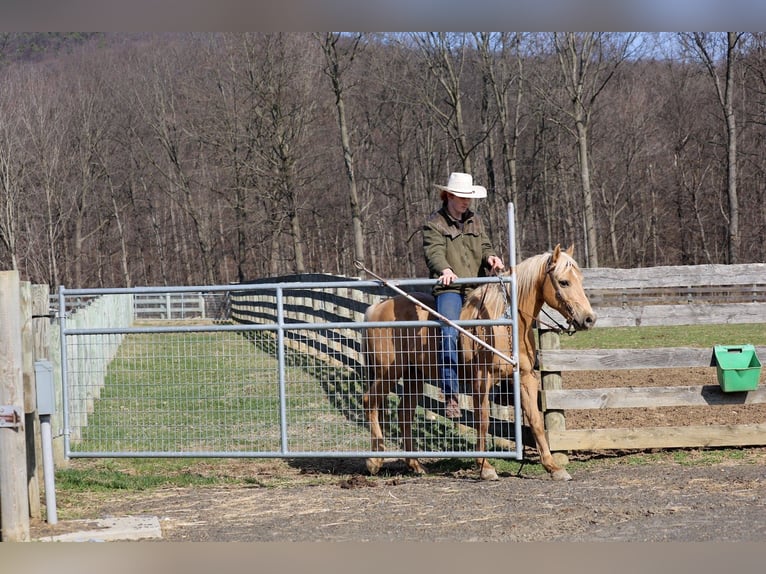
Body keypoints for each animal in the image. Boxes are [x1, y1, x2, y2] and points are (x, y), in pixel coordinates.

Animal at [361, 244, 596, 481]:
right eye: (564, 282)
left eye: (580, 279)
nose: (589, 319)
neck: (504, 322)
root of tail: (376, 309)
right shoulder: (482, 379)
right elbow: (483, 420)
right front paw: (485, 467)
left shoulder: (525, 377)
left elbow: (536, 422)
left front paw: (553, 468)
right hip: (388, 373)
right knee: (369, 401)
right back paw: (374, 461)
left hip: (414, 376)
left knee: (405, 414)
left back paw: (415, 465)